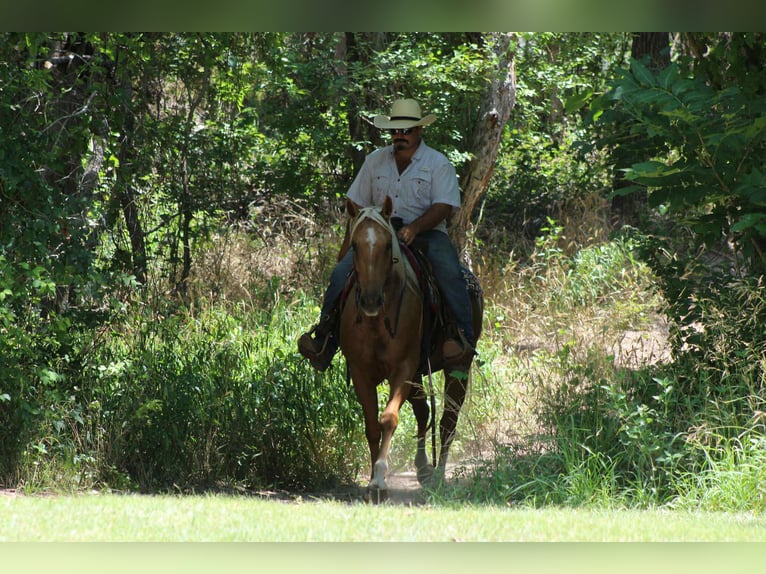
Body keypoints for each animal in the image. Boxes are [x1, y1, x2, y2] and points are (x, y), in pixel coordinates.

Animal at [338, 195, 483, 502]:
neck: (377, 320)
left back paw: (438, 475)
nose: (370, 300)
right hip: (419, 372)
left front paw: (380, 479)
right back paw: (423, 468)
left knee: (447, 421)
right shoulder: (360, 371)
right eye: (355, 245)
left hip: (458, 367)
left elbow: (388, 419)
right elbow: (372, 426)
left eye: (386, 246)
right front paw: (372, 481)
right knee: (424, 412)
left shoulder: (403, 369)